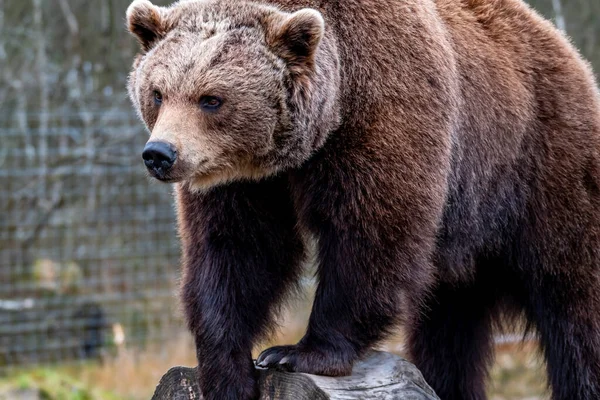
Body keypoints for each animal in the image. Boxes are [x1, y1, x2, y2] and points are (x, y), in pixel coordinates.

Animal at [125, 0, 600, 398]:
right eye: (158, 92)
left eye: (211, 99)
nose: (160, 154)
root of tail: (568, 51)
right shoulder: (243, 184)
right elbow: (237, 251)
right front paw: (227, 371)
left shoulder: (386, 117)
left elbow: (370, 238)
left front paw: (297, 352)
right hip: (465, 249)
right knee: (447, 330)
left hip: (539, 173)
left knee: (575, 307)